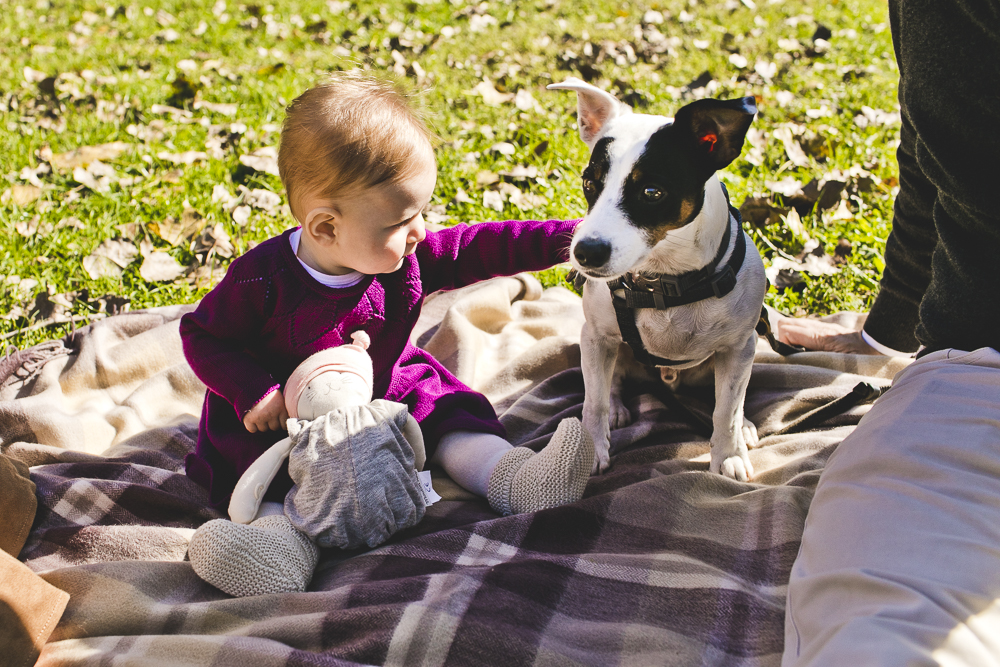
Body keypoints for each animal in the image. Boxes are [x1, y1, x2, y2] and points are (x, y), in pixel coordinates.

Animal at [552, 78, 768, 480]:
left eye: (652, 192)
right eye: (589, 183)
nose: (585, 252)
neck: (663, 278)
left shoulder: (737, 348)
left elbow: (726, 410)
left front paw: (729, 454)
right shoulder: (597, 337)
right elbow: (593, 401)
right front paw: (591, 449)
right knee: (611, 382)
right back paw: (618, 405)